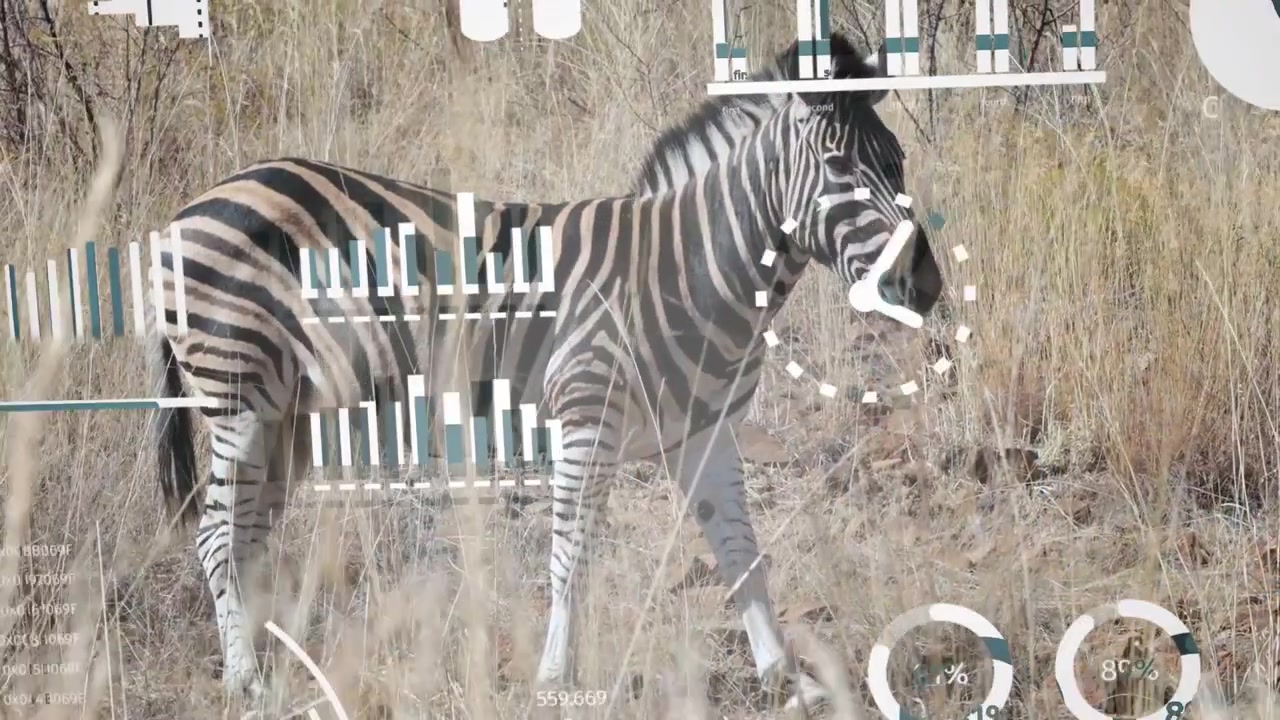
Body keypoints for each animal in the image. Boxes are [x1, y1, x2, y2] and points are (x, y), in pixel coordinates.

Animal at [148, 34, 940, 709]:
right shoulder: (586, 417)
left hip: (288, 418)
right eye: (839, 169)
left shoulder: (702, 432)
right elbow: (571, 556)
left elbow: (741, 551)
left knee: (247, 536)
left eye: (898, 160)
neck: (686, 269)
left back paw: (274, 660)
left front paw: (785, 679)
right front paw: (557, 680)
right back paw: (246, 682)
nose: (926, 284)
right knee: (217, 537)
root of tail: (191, 208)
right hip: (238, 396)